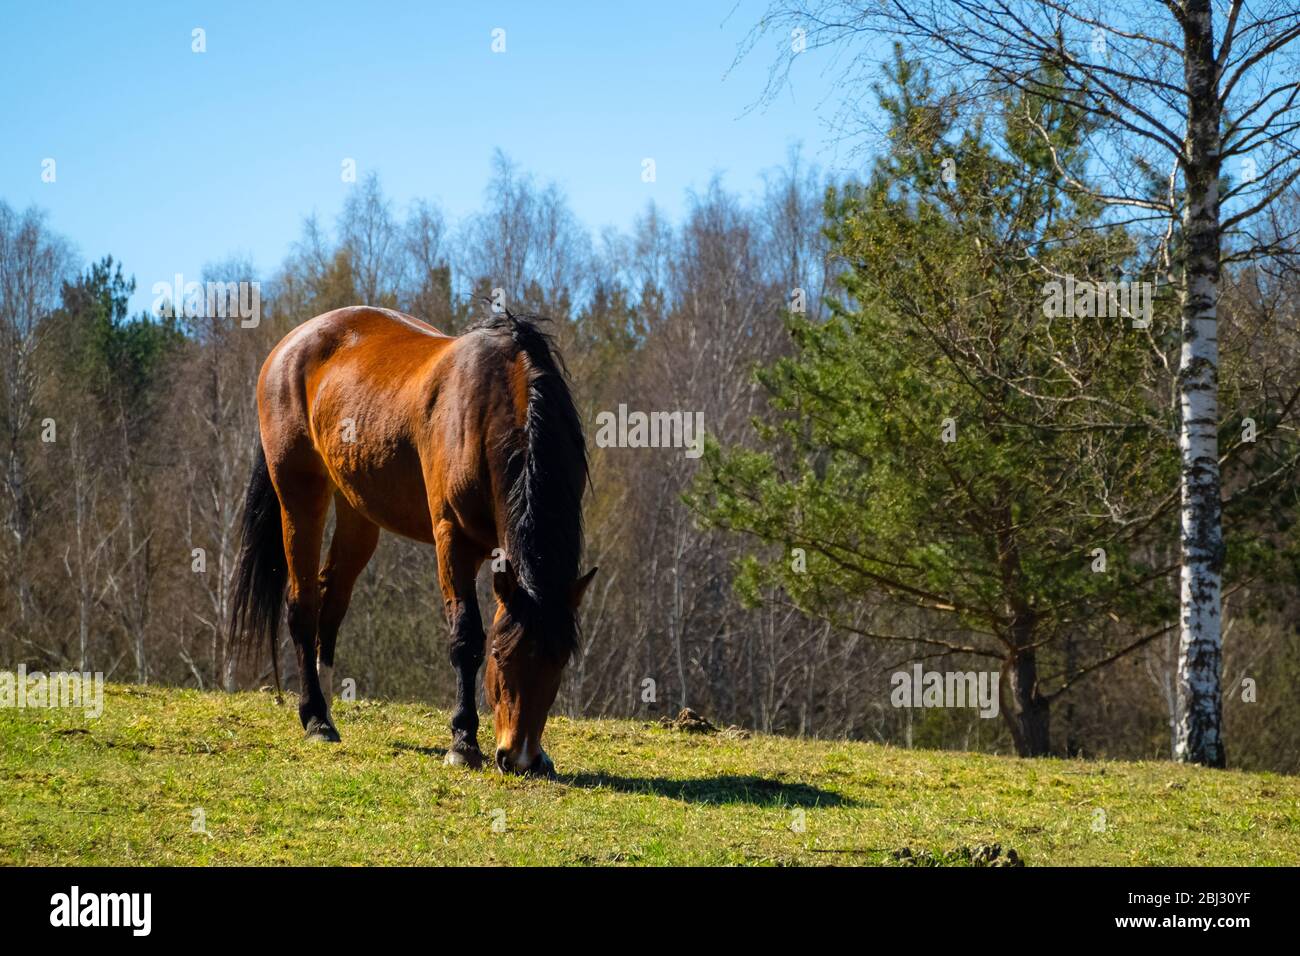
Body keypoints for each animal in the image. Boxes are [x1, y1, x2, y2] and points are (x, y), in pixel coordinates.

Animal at [228, 305, 596, 775]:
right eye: (500, 656)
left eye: (559, 663)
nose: (521, 757)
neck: (492, 405)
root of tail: (290, 344)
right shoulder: (453, 540)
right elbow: (465, 637)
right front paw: (462, 742)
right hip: (298, 496)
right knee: (303, 603)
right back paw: (315, 719)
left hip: (357, 511)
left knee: (332, 600)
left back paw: (327, 706)